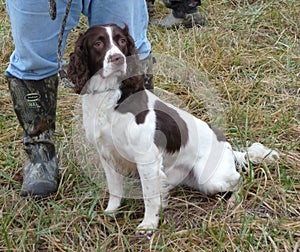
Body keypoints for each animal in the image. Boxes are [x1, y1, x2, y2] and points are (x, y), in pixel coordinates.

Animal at [67, 23, 278, 234]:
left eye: (122, 41)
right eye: (98, 43)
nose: (118, 58)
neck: (110, 97)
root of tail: (227, 145)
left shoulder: (147, 159)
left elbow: (150, 196)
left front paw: (149, 225)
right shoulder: (107, 154)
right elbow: (115, 189)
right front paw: (110, 212)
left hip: (210, 178)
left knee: (239, 179)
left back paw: (235, 201)